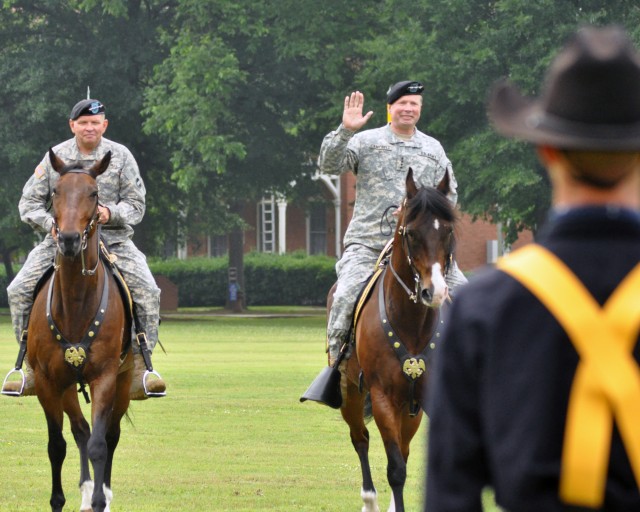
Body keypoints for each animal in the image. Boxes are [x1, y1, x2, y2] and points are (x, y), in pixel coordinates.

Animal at [28, 149, 133, 512]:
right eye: (56, 192)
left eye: (94, 193)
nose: (70, 240)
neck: (75, 304)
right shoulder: (48, 382)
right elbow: (57, 445)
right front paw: (59, 500)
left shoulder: (105, 377)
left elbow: (101, 444)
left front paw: (102, 499)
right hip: (68, 386)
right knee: (80, 430)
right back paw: (87, 491)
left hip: (124, 382)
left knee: (110, 436)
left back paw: (103, 493)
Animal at [328, 170, 458, 510]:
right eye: (411, 233)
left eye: (448, 231)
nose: (434, 291)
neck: (412, 325)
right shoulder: (382, 397)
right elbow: (395, 469)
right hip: (351, 393)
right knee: (361, 439)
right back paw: (369, 500)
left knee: (403, 445)